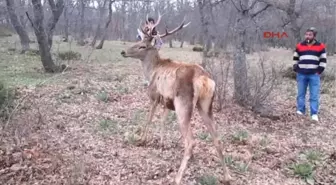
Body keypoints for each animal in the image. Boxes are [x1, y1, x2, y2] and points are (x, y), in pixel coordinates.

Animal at [119, 14, 232, 185]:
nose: (123, 51)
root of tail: (204, 79)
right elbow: (162, 121)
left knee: (190, 141)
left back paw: (177, 178)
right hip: (206, 105)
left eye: (142, 46)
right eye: (137, 41)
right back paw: (227, 177)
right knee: (217, 138)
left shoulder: (154, 96)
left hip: (183, 105)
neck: (152, 70)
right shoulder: (166, 103)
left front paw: (141, 140)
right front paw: (161, 143)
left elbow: (149, 119)